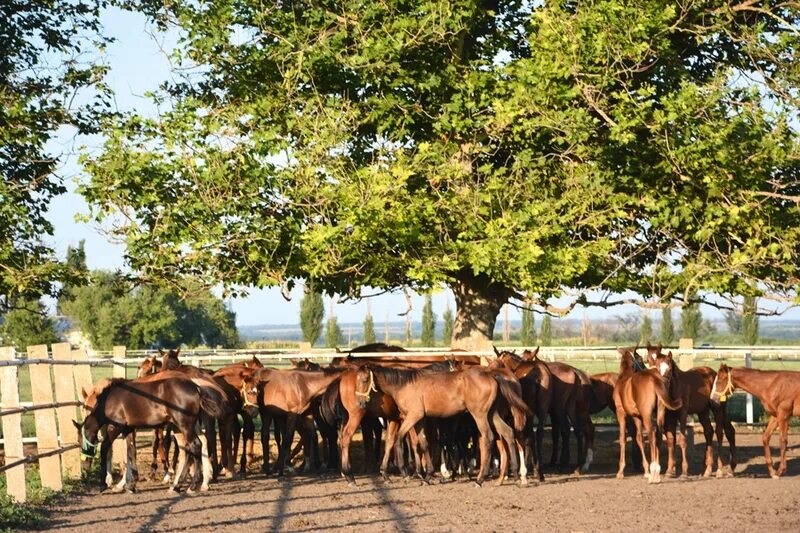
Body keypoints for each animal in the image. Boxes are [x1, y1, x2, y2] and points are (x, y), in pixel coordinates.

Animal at [77, 376, 225, 492]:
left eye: (80, 441)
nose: (84, 467)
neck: (109, 400)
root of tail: (196, 388)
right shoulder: (128, 429)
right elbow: (131, 452)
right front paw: (131, 485)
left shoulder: (115, 427)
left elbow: (104, 449)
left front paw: (103, 484)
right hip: (181, 427)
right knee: (190, 448)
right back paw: (178, 485)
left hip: (184, 426)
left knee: (195, 446)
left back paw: (192, 485)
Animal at [612, 344, 680, 482]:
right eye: (641, 359)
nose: (643, 367)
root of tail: (655, 379)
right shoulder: (637, 416)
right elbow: (639, 439)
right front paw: (646, 471)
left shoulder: (621, 413)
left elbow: (622, 439)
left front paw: (620, 471)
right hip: (659, 412)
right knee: (658, 435)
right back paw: (656, 471)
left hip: (647, 415)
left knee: (652, 435)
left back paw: (654, 473)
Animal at [648, 348, 736, 476]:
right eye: (658, 368)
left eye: (669, 369)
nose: (662, 384)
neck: (676, 388)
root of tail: (714, 373)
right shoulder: (670, 416)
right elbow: (670, 440)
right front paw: (669, 470)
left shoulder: (683, 414)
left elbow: (682, 440)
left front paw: (684, 471)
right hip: (703, 412)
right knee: (711, 432)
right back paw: (708, 469)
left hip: (718, 409)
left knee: (720, 432)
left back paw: (719, 469)